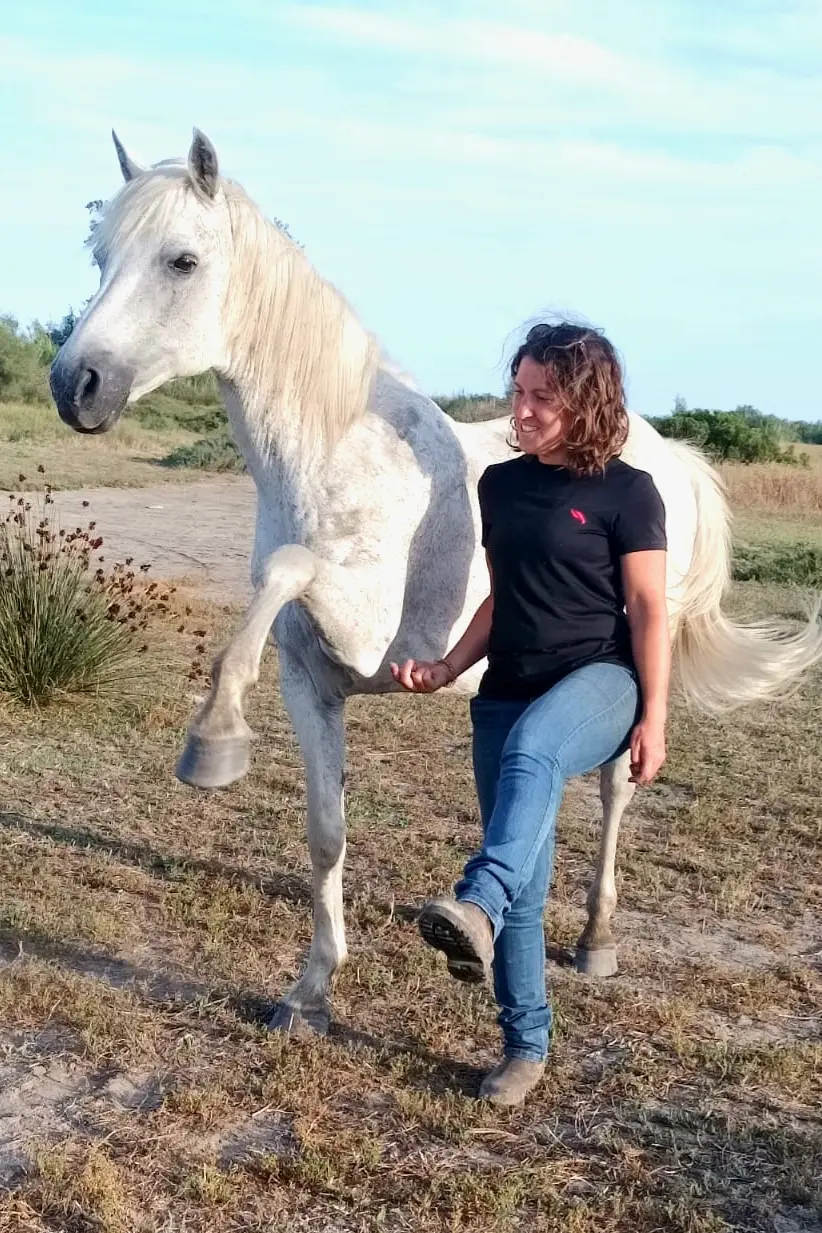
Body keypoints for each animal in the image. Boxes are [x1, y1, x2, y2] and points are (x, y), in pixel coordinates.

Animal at [50, 129, 822, 1037]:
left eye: (182, 260)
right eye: (101, 256)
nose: (74, 384)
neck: (339, 453)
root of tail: (665, 453)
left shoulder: (368, 630)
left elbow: (288, 567)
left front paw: (213, 738)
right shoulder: (312, 681)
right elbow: (326, 831)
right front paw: (310, 991)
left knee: (614, 793)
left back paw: (595, 939)